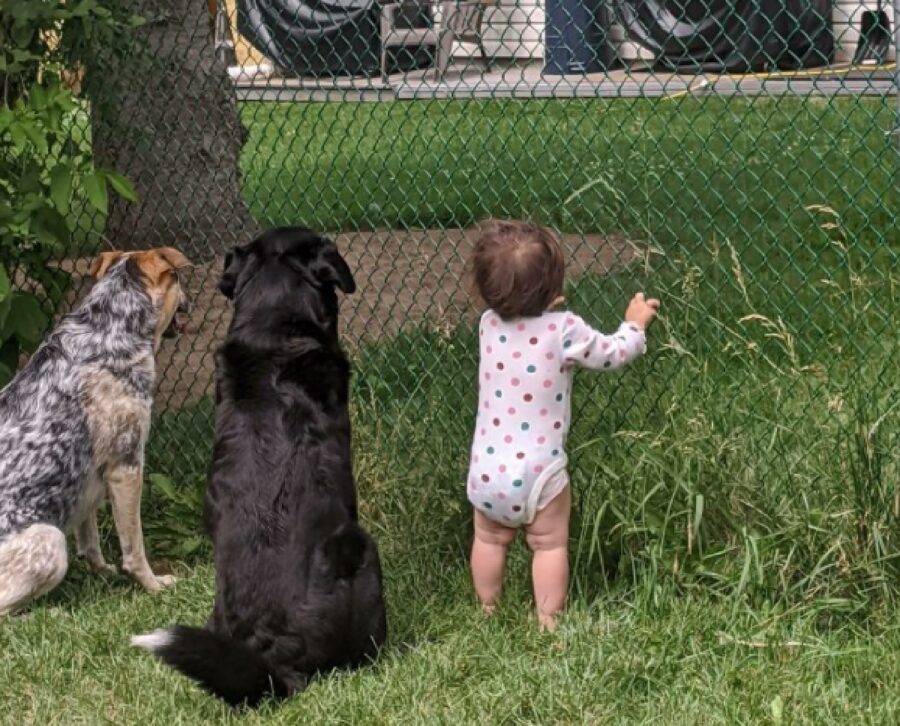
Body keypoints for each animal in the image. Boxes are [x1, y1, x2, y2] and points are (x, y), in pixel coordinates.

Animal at [0, 249, 192, 616]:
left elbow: (89, 539)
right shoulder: (127, 467)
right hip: (50, 540)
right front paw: (154, 586)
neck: (107, 330)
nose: (190, 300)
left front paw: (102, 573)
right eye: (178, 279)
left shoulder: (86, 475)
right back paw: (50, 614)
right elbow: (134, 547)